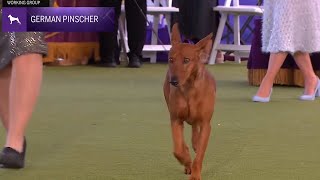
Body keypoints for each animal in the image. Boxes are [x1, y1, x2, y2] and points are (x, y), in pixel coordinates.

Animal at [164, 24, 216, 180]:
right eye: (171, 59)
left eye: (186, 60)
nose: (173, 81)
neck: (189, 89)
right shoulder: (175, 119)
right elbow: (178, 149)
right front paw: (187, 161)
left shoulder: (206, 124)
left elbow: (199, 156)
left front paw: (195, 174)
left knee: (195, 129)